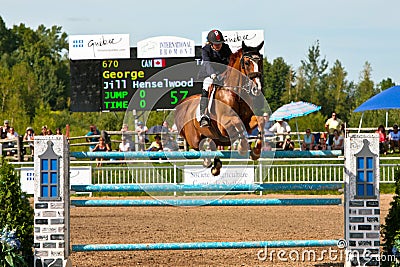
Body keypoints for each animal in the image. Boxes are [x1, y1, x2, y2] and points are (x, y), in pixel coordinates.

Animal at [174, 40, 266, 176]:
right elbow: (237, 122)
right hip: (193, 138)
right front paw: (242, 148)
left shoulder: (248, 121)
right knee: (198, 147)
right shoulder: (224, 124)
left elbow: (261, 121)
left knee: (212, 146)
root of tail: (183, 105)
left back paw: (216, 166)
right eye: (247, 63)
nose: (257, 89)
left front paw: (255, 152)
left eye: (260, 62)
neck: (235, 93)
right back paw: (208, 161)